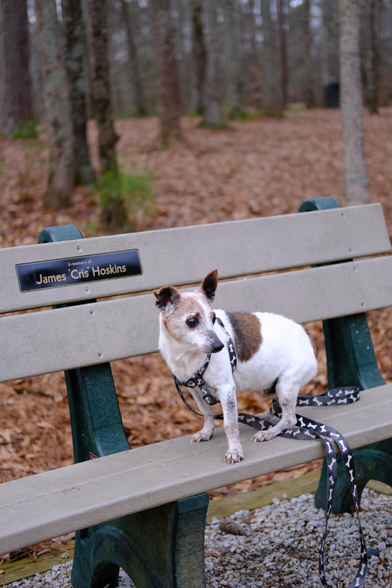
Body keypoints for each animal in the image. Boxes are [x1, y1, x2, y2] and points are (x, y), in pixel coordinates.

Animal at [154, 270, 318, 464]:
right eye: (192, 321)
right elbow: (207, 412)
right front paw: (207, 432)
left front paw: (234, 451)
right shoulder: (195, 390)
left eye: (213, 318)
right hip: (278, 387)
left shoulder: (226, 389)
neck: (188, 354)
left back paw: (269, 432)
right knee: (278, 408)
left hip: (286, 385)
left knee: (290, 419)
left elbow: (229, 424)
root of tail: (308, 339)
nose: (219, 346)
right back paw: (263, 417)